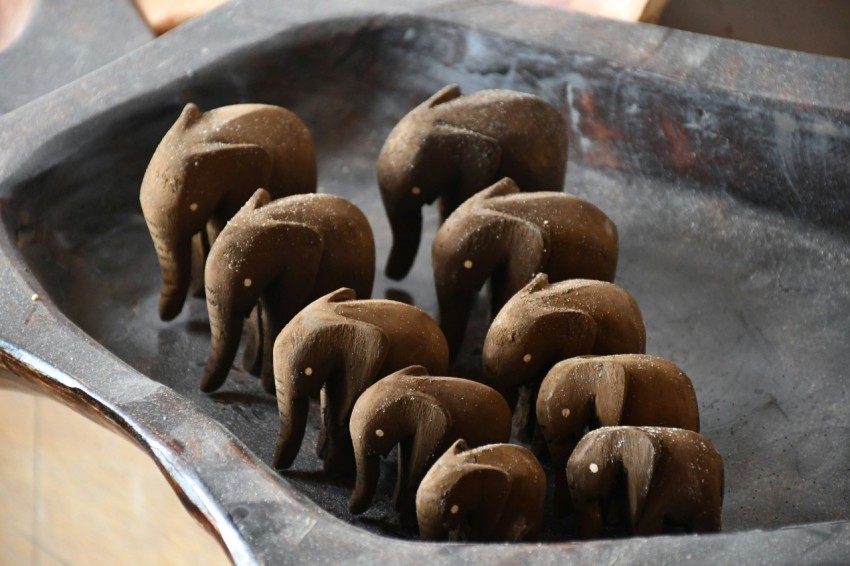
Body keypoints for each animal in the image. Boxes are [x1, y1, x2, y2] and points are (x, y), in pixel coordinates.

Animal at [201, 189, 375, 393]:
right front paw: (251, 370)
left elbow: (277, 316)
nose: (202, 391)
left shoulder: (297, 274)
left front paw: (267, 387)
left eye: (247, 283)